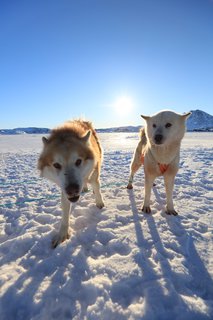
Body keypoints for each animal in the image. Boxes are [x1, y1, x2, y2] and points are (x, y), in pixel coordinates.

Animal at [38, 120, 105, 248]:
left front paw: (99, 203)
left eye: (78, 161)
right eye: (56, 165)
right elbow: (65, 213)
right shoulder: (64, 190)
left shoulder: (94, 175)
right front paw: (62, 234)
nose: (72, 190)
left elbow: (97, 189)